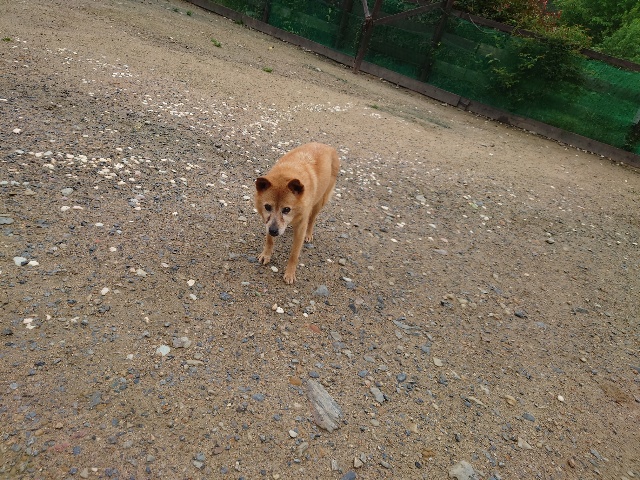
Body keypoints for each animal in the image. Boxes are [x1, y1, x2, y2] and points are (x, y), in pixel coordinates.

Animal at [255, 142, 340, 284]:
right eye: (267, 207)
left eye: (286, 209)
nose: (273, 231)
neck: (288, 174)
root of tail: (328, 147)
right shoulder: (268, 223)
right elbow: (269, 241)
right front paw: (266, 255)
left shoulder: (300, 227)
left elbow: (294, 254)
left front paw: (289, 273)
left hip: (320, 202)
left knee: (312, 219)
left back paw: (308, 234)